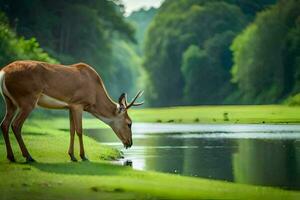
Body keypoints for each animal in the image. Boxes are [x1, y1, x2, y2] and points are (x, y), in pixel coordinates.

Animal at [0, 60, 144, 162]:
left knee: (4, 124)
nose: (130, 143)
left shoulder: (69, 107)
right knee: (16, 125)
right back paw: (28, 157)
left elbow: (71, 131)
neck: (95, 95)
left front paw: (72, 156)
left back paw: (11, 157)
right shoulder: (78, 104)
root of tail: (3, 72)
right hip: (27, 99)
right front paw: (83, 156)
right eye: (129, 123)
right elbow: (80, 130)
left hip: (10, 102)